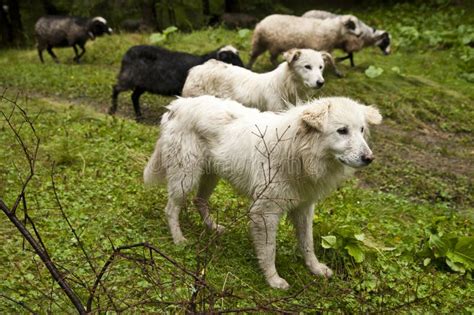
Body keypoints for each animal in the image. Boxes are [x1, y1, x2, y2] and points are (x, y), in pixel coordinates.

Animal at [109, 45, 244, 121]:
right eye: (229, 58)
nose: (244, 67)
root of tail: (127, 53)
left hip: (143, 84)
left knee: (134, 96)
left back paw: (139, 117)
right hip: (130, 77)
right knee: (116, 88)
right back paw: (112, 111)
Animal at [143, 95, 382, 290]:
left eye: (361, 130)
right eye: (342, 130)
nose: (369, 158)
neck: (298, 151)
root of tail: (178, 104)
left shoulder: (304, 208)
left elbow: (307, 243)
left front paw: (315, 268)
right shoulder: (265, 212)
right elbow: (269, 250)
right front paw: (273, 279)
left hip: (211, 175)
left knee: (199, 201)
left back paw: (213, 227)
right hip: (186, 176)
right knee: (171, 209)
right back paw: (179, 239)